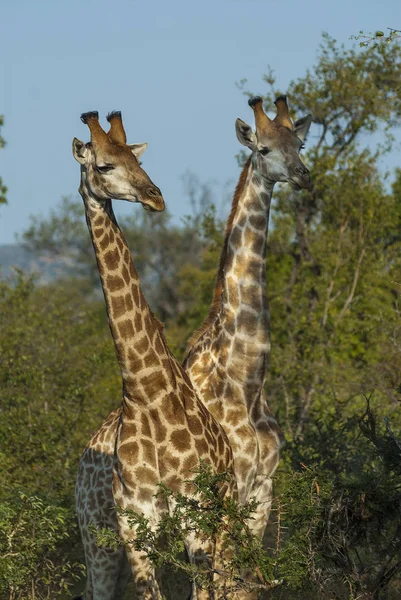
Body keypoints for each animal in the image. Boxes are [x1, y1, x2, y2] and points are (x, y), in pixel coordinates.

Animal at [72, 109, 234, 600]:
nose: (155, 197)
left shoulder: (195, 517)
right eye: (104, 165)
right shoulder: (132, 525)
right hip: (96, 537)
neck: (144, 393)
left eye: (137, 159)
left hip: (227, 518)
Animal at [182, 97, 312, 544]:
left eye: (300, 145)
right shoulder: (231, 485)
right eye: (265, 149)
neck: (249, 380)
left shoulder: (263, 487)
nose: (303, 175)